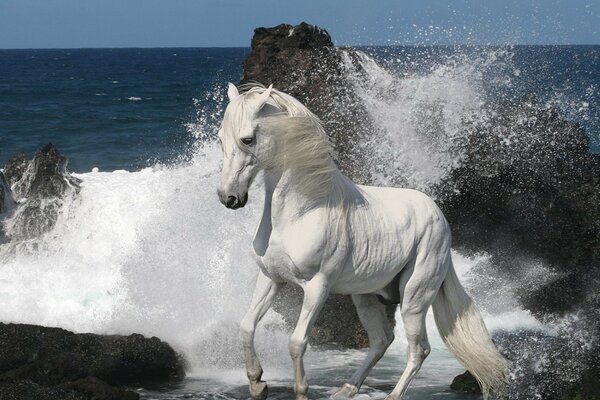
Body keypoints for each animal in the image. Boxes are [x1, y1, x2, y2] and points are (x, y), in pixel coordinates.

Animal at [216, 83, 506, 398]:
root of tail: (439, 216)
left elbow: (296, 342)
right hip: (366, 296)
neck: (302, 211)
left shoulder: (318, 287)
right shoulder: (271, 278)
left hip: (414, 297)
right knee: (382, 340)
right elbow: (246, 326)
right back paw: (346, 389)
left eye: (248, 139)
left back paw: (392, 395)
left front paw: (300, 390)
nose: (229, 198)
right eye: (220, 139)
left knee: (419, 350)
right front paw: (257, 383)